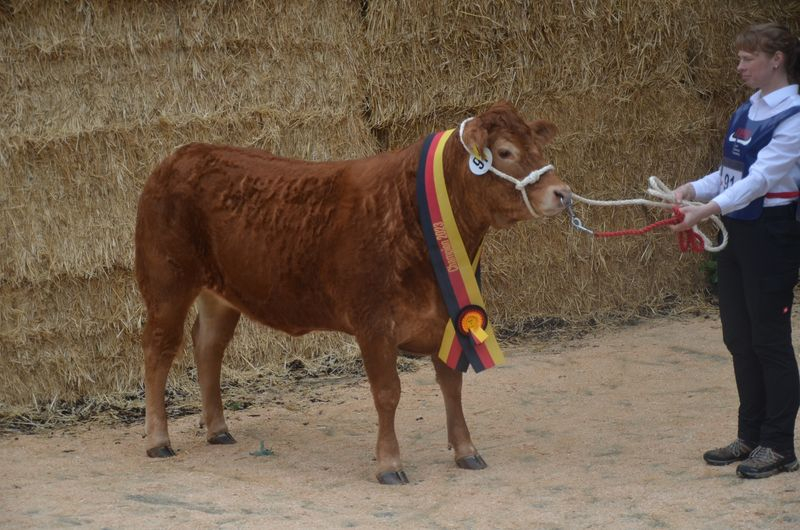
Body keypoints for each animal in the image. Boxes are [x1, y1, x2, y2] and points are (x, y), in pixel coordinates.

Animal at [136, 100, 568, 482]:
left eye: (538, 147)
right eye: (505, 151)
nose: (562, 192)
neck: (412, 217)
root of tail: (184, 154)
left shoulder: (448, 316)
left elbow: (452, 386)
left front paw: (466, 451)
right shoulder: (373, 323)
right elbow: (387, 392)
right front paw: (389, 464)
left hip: (221, 294)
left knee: (208, 346)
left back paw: (218, 429)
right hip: (167, 282)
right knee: (159, 350)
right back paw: (158, 440)